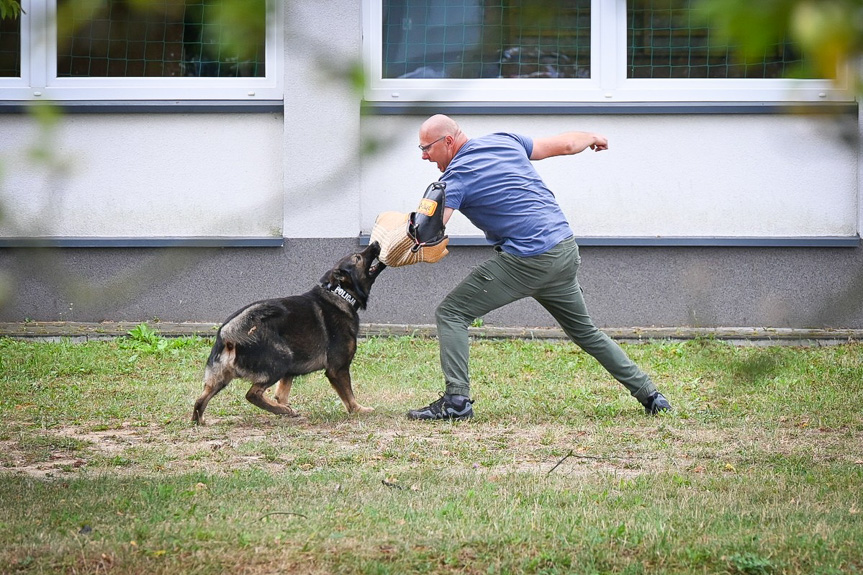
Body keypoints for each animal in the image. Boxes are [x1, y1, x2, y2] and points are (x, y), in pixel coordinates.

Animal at [196, 241, 388, 426]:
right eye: (358, 257)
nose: (376, 243)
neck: (340, 294)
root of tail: (227, 334)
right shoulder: (337, 369)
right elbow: (349, 396)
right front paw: (359, 410)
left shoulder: (290, 373)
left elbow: (281, 394)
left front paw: (284, 406)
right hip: (281, 359)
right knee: (252, 394)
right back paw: (282, 410)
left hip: (220, 379)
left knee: (199, 401)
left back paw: (202, 421)